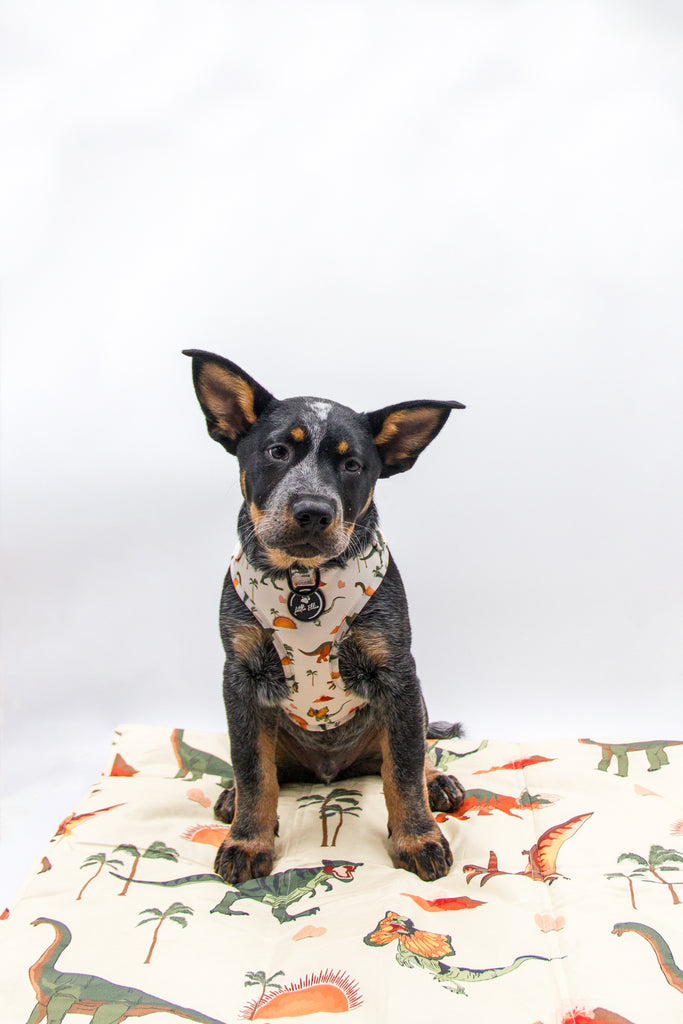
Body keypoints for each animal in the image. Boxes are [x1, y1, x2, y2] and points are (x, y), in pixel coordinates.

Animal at [184, 348, 466, 884]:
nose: (314, 510)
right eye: (277, 452)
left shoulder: (396, 672)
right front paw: (247, 842)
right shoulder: (240, 676)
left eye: (353, 464)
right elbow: (253, 770)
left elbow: (403, 771)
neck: (304, 580)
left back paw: (437, 781)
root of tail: (331, 769)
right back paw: (232, 797)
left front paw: (418, 838)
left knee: (412, 752)